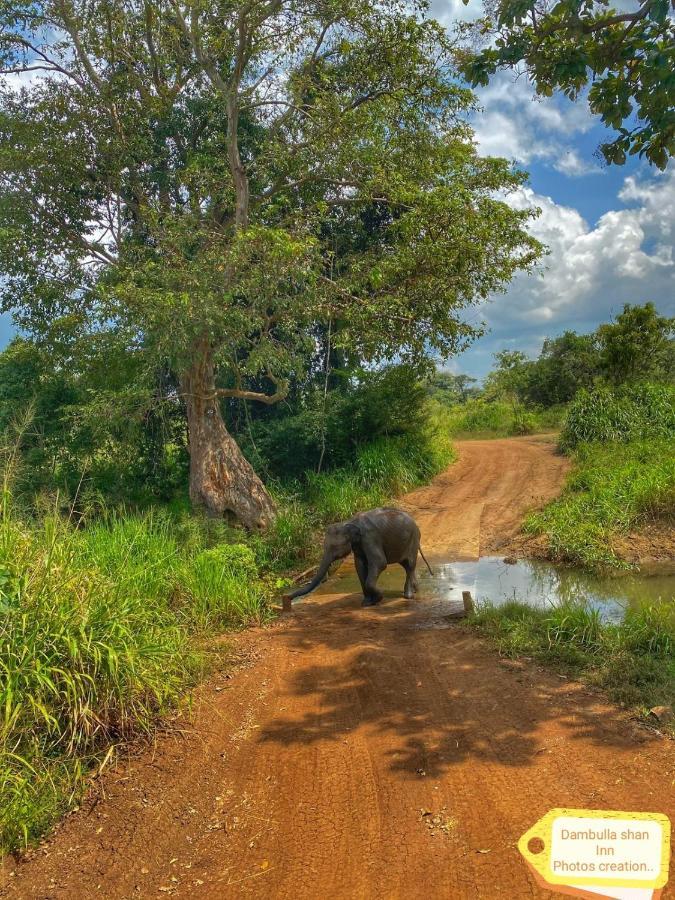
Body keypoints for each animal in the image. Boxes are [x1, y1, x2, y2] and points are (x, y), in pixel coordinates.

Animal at [284, 506, 434, 604]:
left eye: (334, 547)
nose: (287, 598)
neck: (349, 522)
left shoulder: (370, 538)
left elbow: (379, 563)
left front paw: (379, 598)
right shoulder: (358, 544)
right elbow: (360, 565)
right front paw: (367, 603)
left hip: (413, 541)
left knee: (409, 564)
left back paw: (408, 596)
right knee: (406, 565)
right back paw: (415, 590)